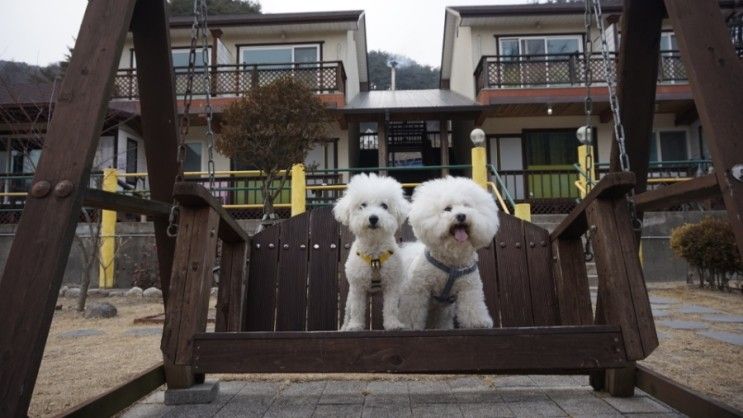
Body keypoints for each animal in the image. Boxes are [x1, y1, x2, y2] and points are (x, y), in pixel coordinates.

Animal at [332, 172, 410, 330]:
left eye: (384, 206)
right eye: (363, 205)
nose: (373, 218)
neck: (375, 254)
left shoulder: (392, 284)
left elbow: (391, 307)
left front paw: (393, 324)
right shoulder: (357, 287)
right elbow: (357, 309)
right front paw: (355, 326)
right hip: (349, 298)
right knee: (348, 312)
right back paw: (345, 327)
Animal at [402, 176, 500, 330]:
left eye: (467, 206)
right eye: (447, 209)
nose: (461, 215)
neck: (452, 260)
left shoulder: (469, 287)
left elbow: (473, 305)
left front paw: (478, 322)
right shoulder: (418, 288)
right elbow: (412, 310)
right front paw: (410, 325)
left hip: (443, 312)